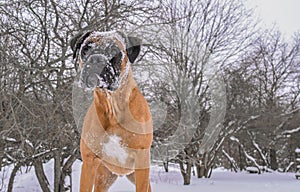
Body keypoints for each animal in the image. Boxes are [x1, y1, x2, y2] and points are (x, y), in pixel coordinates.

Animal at [71, 30, 152, 191]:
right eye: (86, 49)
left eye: (114, 51)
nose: (96, 59)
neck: (113, 106)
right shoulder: (89, 162)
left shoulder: (142, 161)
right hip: (103, 177)